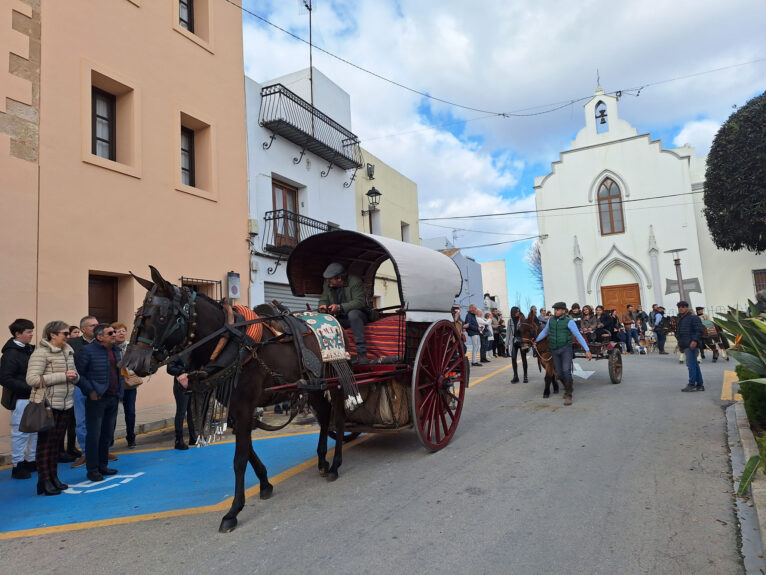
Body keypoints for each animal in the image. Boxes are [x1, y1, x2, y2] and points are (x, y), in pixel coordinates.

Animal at [123, 268, 348, 532]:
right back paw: (322, 460)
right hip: (313, 386)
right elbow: (248, 450)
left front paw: (233, 511)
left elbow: (239, 459)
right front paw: (265, 483)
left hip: (334, 380)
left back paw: (335, 464)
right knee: (324, 415)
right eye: (138, 313)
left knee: (338, 417)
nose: (130, 363)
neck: (230, 344)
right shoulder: (236, 409)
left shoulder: (244, 407)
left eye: (160, 316)